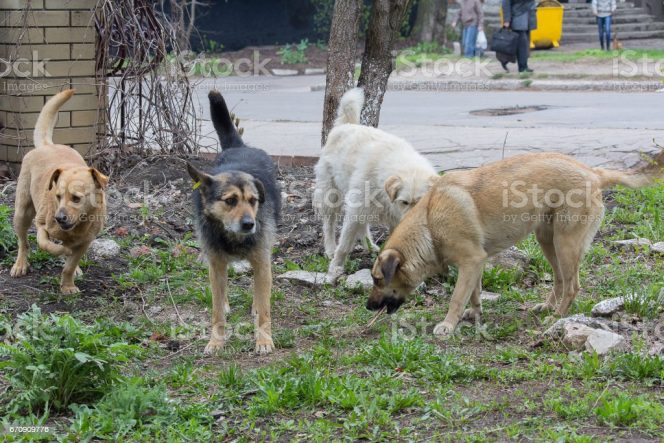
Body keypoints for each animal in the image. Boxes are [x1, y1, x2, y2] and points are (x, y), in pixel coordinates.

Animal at [10, 89, 107, 294]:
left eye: (77, 198)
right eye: (58, 196)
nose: (59, 218)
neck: (76, 227)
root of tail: (48, 145)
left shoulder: (85, 241)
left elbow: (70, 265)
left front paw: (68, 285)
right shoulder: (41, 226)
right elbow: (46, 244)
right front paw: (61, 251)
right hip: (22, 213)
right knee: (23, 242)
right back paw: (20, 264)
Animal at [187, 92, 280, 356]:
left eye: (253, 201)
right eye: (230, 201)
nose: (249, 224)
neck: (232, 236)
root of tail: (240, 147)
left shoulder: (262, 261)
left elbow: (265, 309)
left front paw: (264, 340)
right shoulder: (216, 263)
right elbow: (216, 310)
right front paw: (216, 341)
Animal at [314, 87, 438, 280]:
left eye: (421, 202)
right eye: (404, 202)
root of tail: (345, 125)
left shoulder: (394, 219)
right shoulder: (356, 210)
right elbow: (345, 244)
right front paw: (335, 267)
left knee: (363, 226)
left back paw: (369, 246)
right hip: (332, 195)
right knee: (329, 224)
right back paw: (330, 249)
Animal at [368, 152, 664, 336]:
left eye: (377, 280)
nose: (368, 307)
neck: (429, 222)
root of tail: (592, 172)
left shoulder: (471, 261)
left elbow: (456, 298)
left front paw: (448, 324)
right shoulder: (476, 263)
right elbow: (473, 294)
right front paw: (474, 314)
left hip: (565, 244)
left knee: (573, 286)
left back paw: (557, 316)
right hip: (548, 241)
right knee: (560, 280)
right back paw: (548, 307)